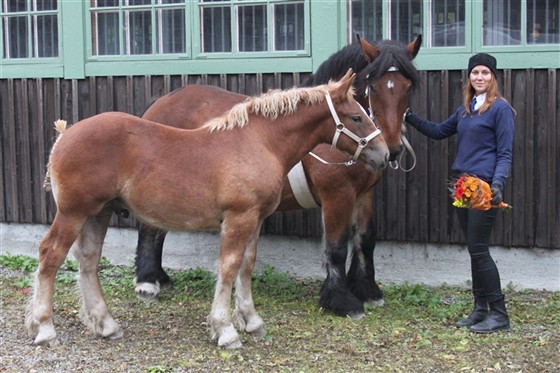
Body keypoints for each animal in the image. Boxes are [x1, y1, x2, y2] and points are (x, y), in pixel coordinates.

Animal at [25, 70, 390, 348]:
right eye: (356, 117)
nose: (385, 154)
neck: (259, 141)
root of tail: (65, 134)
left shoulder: (257, 220)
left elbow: (245, 267)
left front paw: (251, 320)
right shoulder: (238, 218)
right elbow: (228, 268)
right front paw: (225, 330)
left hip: (97, 213)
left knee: (87, 261)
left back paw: (105, 324)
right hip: (73, 213)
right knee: (50, 256)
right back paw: (45, 328)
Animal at [132, 36, 420, 318]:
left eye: (407, 87)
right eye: (373, 88)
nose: (392, 149)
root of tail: (159, 103)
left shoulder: (364, 194)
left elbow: (365, 240)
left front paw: (368, 291)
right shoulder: (337, 195)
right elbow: (337, 247)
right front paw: (342, 301)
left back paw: (159, 277)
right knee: (149, 228)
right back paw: (147, 281)